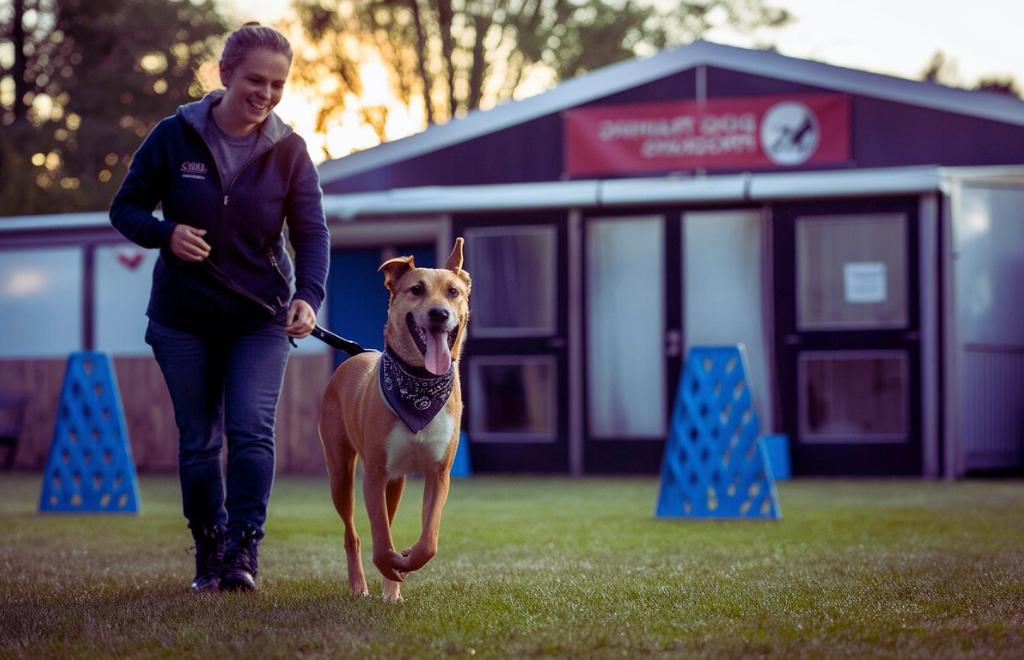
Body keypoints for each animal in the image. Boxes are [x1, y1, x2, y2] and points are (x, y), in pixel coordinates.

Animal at [317, 238, 468, 601]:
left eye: (453, 292)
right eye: (416, 289)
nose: (439, 313)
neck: (420, 383)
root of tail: (355, 357)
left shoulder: (438, 473)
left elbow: (428, 541)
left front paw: (407, 561)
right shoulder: (373, 473)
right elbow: (381, 542)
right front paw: (391, 564)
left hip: (396, 482)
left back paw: (391, 590)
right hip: (340, 471)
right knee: (354, 533)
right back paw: (359, 585)